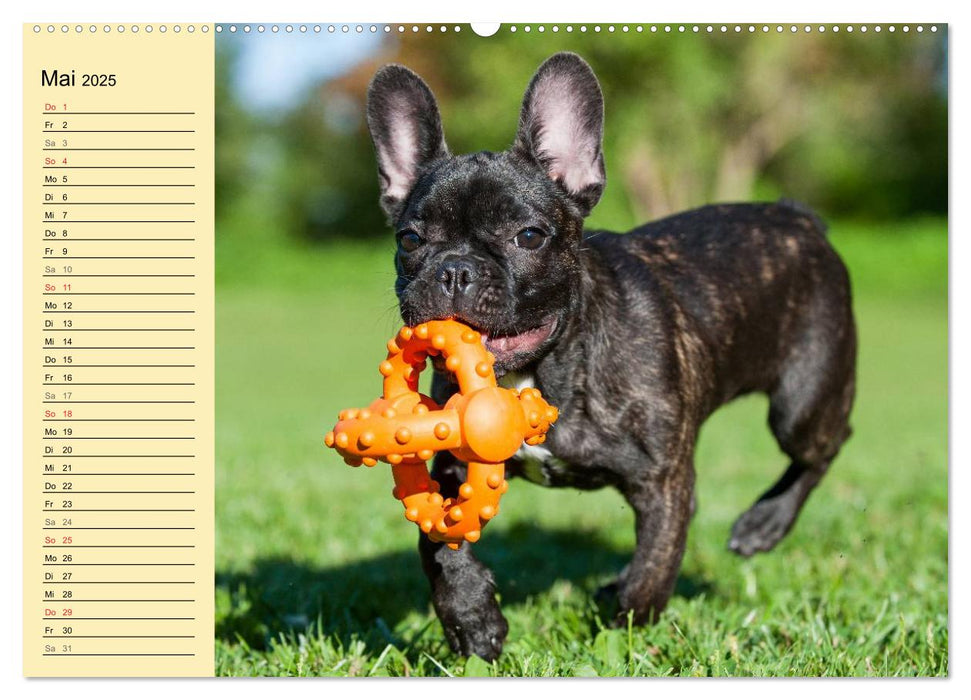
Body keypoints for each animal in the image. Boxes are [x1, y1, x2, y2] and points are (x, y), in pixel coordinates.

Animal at [366, 52, 860, 660]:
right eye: (409, 241)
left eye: (528, 236)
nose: (455, 269)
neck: (542, 373)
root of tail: (799, 217)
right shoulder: (452, 470)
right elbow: (439, 548)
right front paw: (472, 620)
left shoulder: (663, 483)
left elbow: (652, 568)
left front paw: (625, 627)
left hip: (803, 403)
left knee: (823, 446)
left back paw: (762, 524)